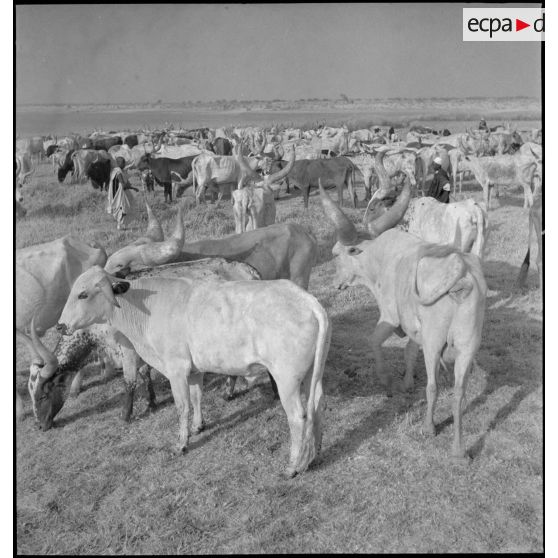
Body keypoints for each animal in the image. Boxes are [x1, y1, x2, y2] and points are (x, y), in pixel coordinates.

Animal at [57, 270, 332, 480]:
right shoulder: (194, 370)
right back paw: (313, 455)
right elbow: (197, 397)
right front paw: (199, 426)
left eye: (83, 294)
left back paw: (293, 466)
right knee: (317, 406)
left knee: (298, 417)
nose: (60, 325)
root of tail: (307, 300)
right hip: (312, 374)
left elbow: (182, 406)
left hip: (286, 379)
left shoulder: (176, 368)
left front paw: (181, 443)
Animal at [322, 180, 488, 464]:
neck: (381, 257)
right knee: (458, 392)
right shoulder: (414, 328)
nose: (335, 283)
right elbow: (409, 351)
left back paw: (429, 427)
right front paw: (407, 380)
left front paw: (386, 381)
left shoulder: (389, 317)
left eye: (335, 254)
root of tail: (461, 271)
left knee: (433, 387)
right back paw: (459, 450)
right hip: (467, 346)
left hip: (434, 343)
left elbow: (374, 341)